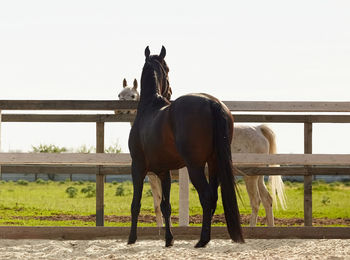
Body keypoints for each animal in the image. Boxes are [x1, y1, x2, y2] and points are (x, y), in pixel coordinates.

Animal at [116, 80, 286, 226]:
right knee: (267, 199)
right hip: (257, 175)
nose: (118, 111)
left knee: (256, 201)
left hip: (250, 176)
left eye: (132, 95)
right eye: (119, 94)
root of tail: (258, 129)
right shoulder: (153, 176)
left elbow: (160, 205)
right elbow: (158, 205)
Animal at [127, 46, 245, 248]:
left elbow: (136, 204)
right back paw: (204, 237)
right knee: (213, 197)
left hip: (195, 166)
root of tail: (212, 102)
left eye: (167, 68)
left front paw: (131, 239)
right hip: (214, 163)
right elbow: (165, 206)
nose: (170, 91)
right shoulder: (164, 171)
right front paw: (169, 239)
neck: (149, 107)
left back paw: (203, 240)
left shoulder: (138, 167)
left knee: (206, 196)